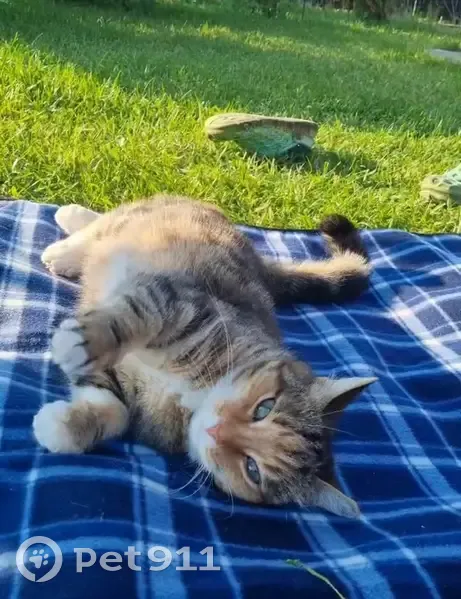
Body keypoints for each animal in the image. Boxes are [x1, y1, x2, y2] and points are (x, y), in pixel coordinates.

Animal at [33, 195, 376, 518]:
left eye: (253, 469)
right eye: (264, 408)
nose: (216, 430)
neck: (194, 396)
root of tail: (260, 265)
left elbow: (115, 409)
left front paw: (63, 426)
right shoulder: (179, 303)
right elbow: (137, 317)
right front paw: (79, 343)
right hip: (146, 221)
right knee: (105, 223)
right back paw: (67, 236)